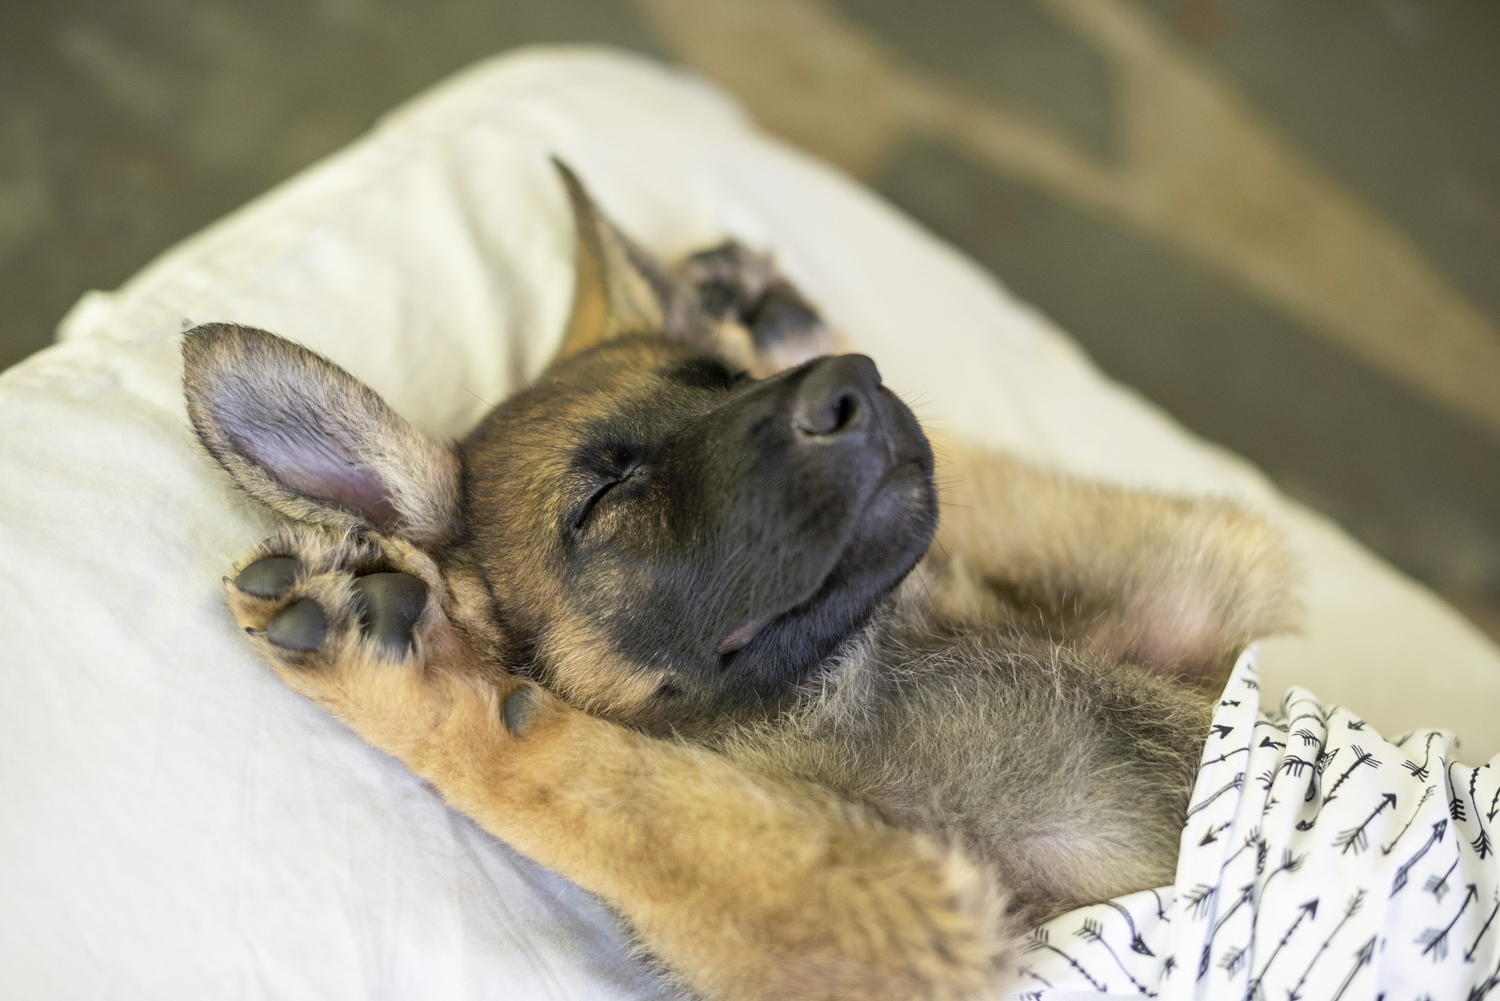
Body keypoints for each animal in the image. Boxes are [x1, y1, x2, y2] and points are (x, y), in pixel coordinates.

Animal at [181, 160, 1296, 996]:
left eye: (729, 385)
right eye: (603, 497)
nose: (855, 387)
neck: (850, 679)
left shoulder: (1209, 577)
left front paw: (751, 311)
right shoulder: (931, 926)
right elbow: (602, 792)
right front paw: (401, 667)